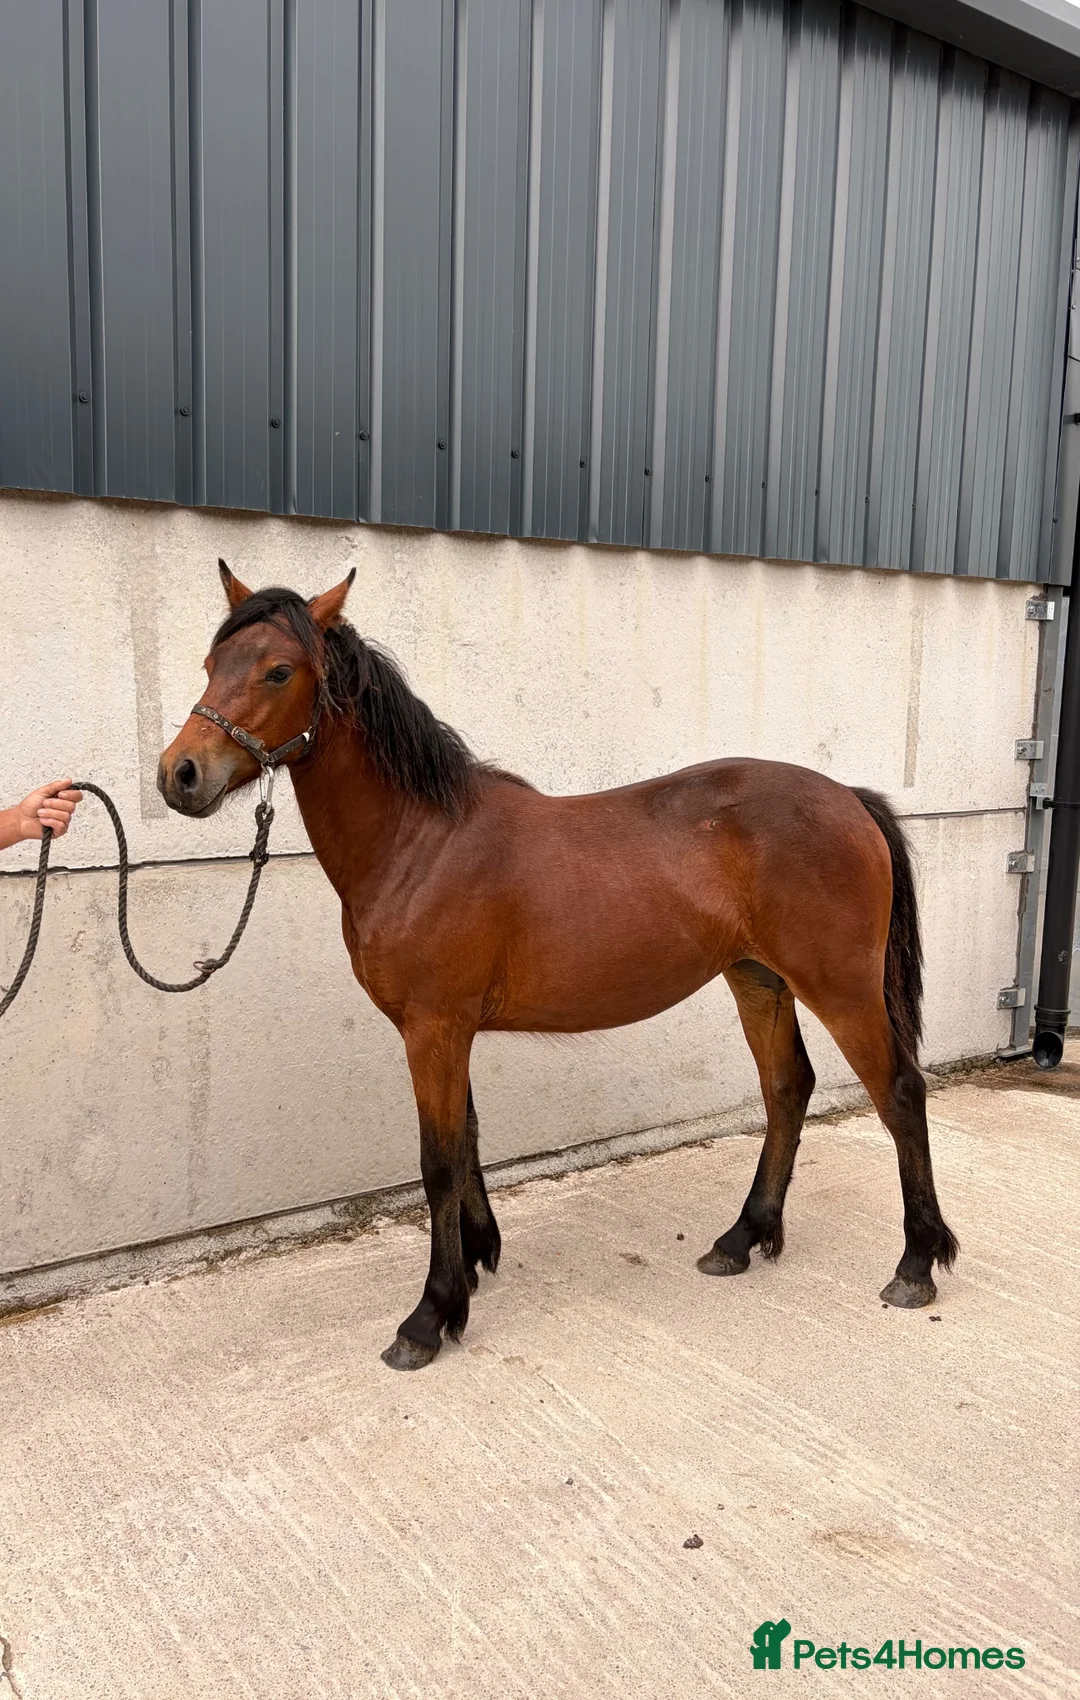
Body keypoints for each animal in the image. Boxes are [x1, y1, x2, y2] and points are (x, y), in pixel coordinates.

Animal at [158, 561, 958, 1370]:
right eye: (210, 663)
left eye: (277, 670)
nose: (180, 774)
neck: (419, 841)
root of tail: (848, 799)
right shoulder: (446, 1030)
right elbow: (468, 1138)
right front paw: (475, 1262)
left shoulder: (434, 1028)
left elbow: (438, 1161)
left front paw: (429, 1316)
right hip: (757, 979)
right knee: (787, 1088)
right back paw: (741, 1238)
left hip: (841, 987)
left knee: (899, 1093)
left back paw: (915, 1264)